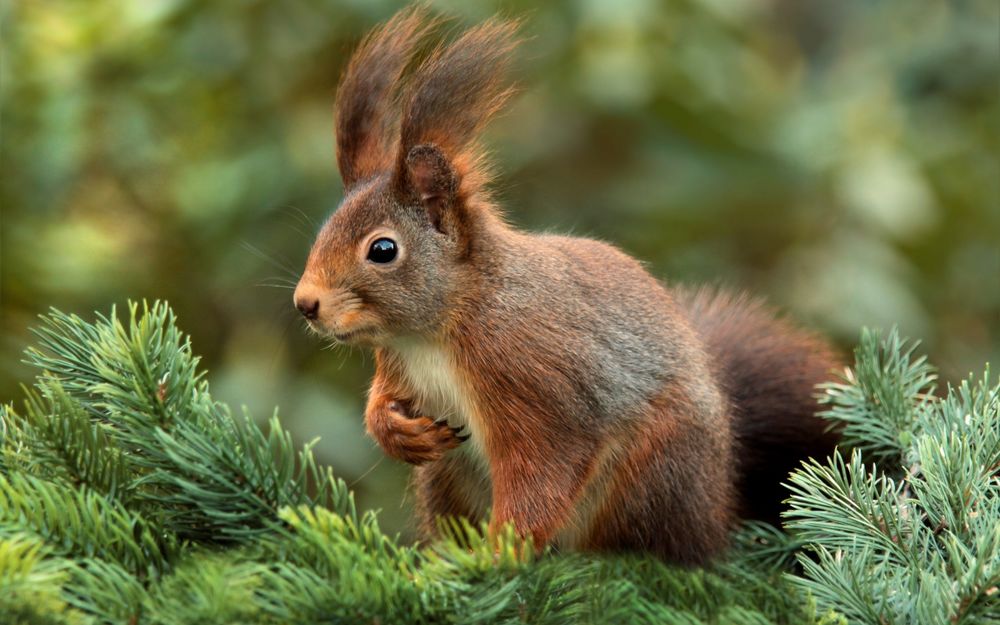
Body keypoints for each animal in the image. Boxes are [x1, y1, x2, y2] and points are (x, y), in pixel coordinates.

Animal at [292, 8, 840, 564]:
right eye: (324, 230)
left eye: (383, 250)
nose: (305, 303)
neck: (437, 330)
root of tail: (716, 507)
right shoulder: (398, 364)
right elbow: (381, 402)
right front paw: (397, 431)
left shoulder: (534, 380)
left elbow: (542, 472)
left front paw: (499, 556)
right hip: (446, 478)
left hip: (653, 470)